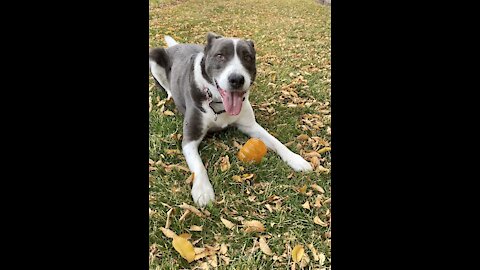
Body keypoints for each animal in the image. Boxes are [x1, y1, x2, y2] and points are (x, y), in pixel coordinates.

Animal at [151, 32, 316, 206]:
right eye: (220, 56)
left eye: (248, 57)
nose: (237, 79)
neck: (217, 102)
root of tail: (176, 46)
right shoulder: (190, 139)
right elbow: (198, 166)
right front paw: (203, 190)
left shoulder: (251, 126)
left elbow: (276, 141)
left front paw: (296, 159)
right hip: (154, 55)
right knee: (166, 86)